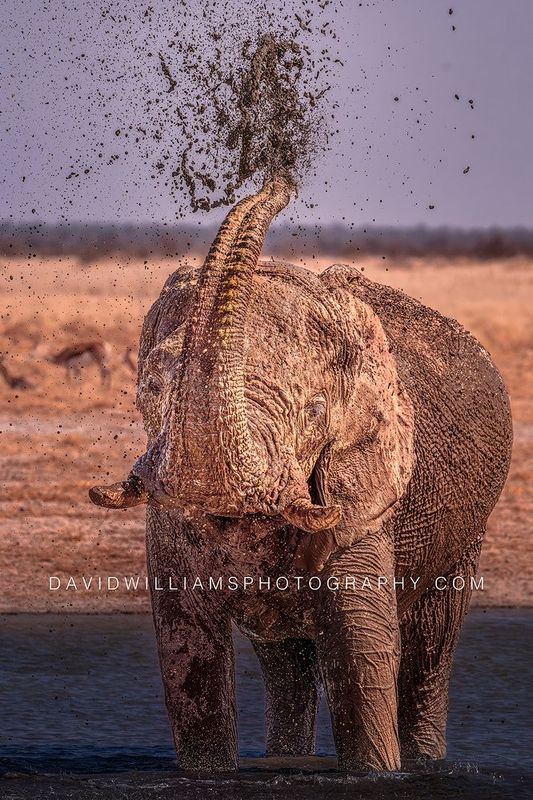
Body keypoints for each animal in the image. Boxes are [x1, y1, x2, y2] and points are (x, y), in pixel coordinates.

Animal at [90, 176, 512, 772]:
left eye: (314, 412)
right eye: (152, 389)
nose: (278, 180)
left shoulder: (364, 492)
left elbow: (362, 655)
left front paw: (378, 776)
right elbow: (187, 653)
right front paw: (209, 773)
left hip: (466, 531)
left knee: (432, 644)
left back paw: (426, 763)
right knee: (285, 659)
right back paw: (284, 761)